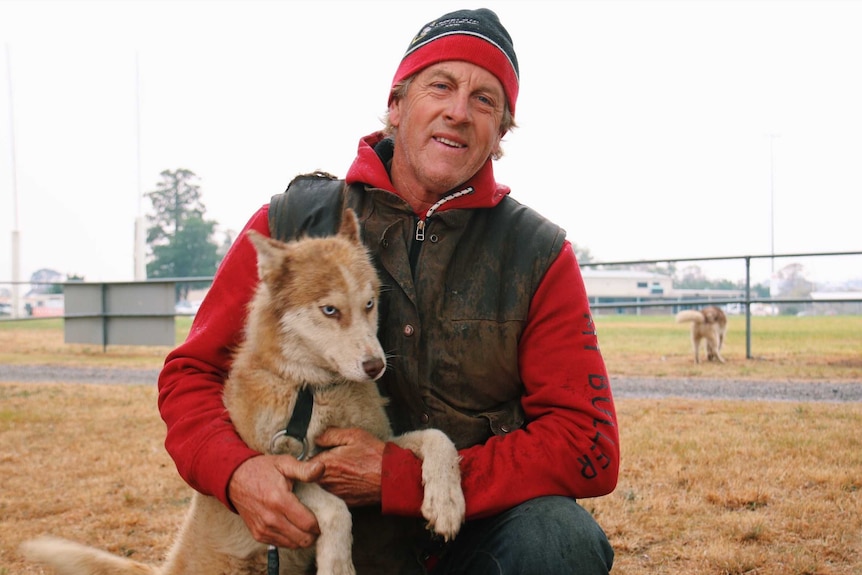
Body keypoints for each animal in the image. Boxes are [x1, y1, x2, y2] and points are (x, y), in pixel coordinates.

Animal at [22, 212, 466, 575]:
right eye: (330, 310)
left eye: (370, 303)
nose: (376, 366)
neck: (312, 391)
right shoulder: (284, 468)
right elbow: (337, 509)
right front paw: (337, 565)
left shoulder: (377, 441)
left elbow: (438, 439)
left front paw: (445, 503)